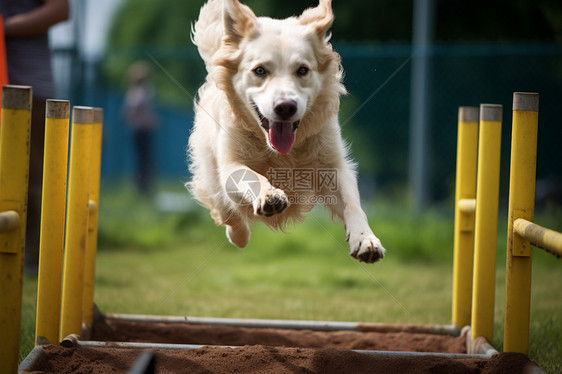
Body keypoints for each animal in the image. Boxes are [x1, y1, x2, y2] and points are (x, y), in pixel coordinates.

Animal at [186, 0, 382, 262]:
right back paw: (239, 235)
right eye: (260, 70)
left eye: (302, 70)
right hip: (212, 177)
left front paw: (366, 240)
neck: (280, 153)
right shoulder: (229, 166)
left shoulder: (334, 168)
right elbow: (253, 177)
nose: (286, 107)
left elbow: (354, 205)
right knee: (228, 214)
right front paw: (269, 196)